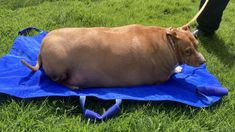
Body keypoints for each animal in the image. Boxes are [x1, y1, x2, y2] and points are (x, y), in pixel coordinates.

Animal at [22, 24, 206, 88]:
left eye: (197, 45)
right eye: (188, 51)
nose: (204, 61)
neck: (166, 41)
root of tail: (42, 47)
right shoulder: (162, 76)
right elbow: (172, 73)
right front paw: (178, 68)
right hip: (60, 66)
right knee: (56, 80)